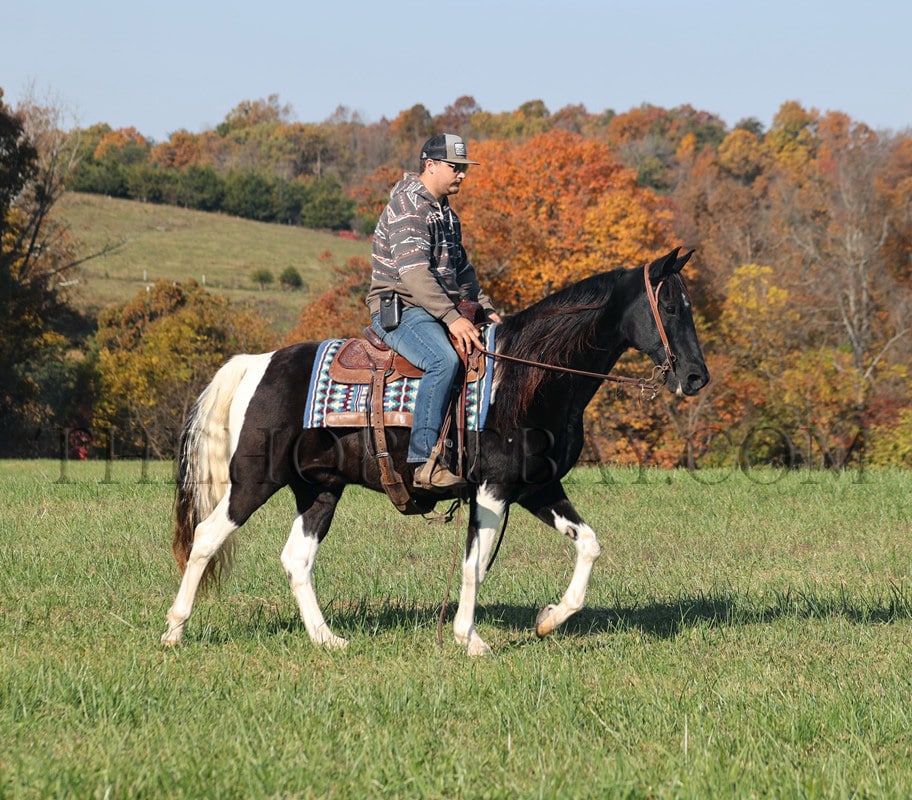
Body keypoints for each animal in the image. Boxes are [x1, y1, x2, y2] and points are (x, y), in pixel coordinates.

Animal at [161, 247, 709, 655]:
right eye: (672, 306)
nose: (696, 377)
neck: (528, 376)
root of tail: (257, 362)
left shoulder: (536, 486)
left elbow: (586, 544)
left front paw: (549, 620)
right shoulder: (492, 489)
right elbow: (474, 565)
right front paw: (471, 639)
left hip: (319, 490)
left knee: (296, 559)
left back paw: (327, 639)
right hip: (253, 481)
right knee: (206, 538)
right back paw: (174, 630)